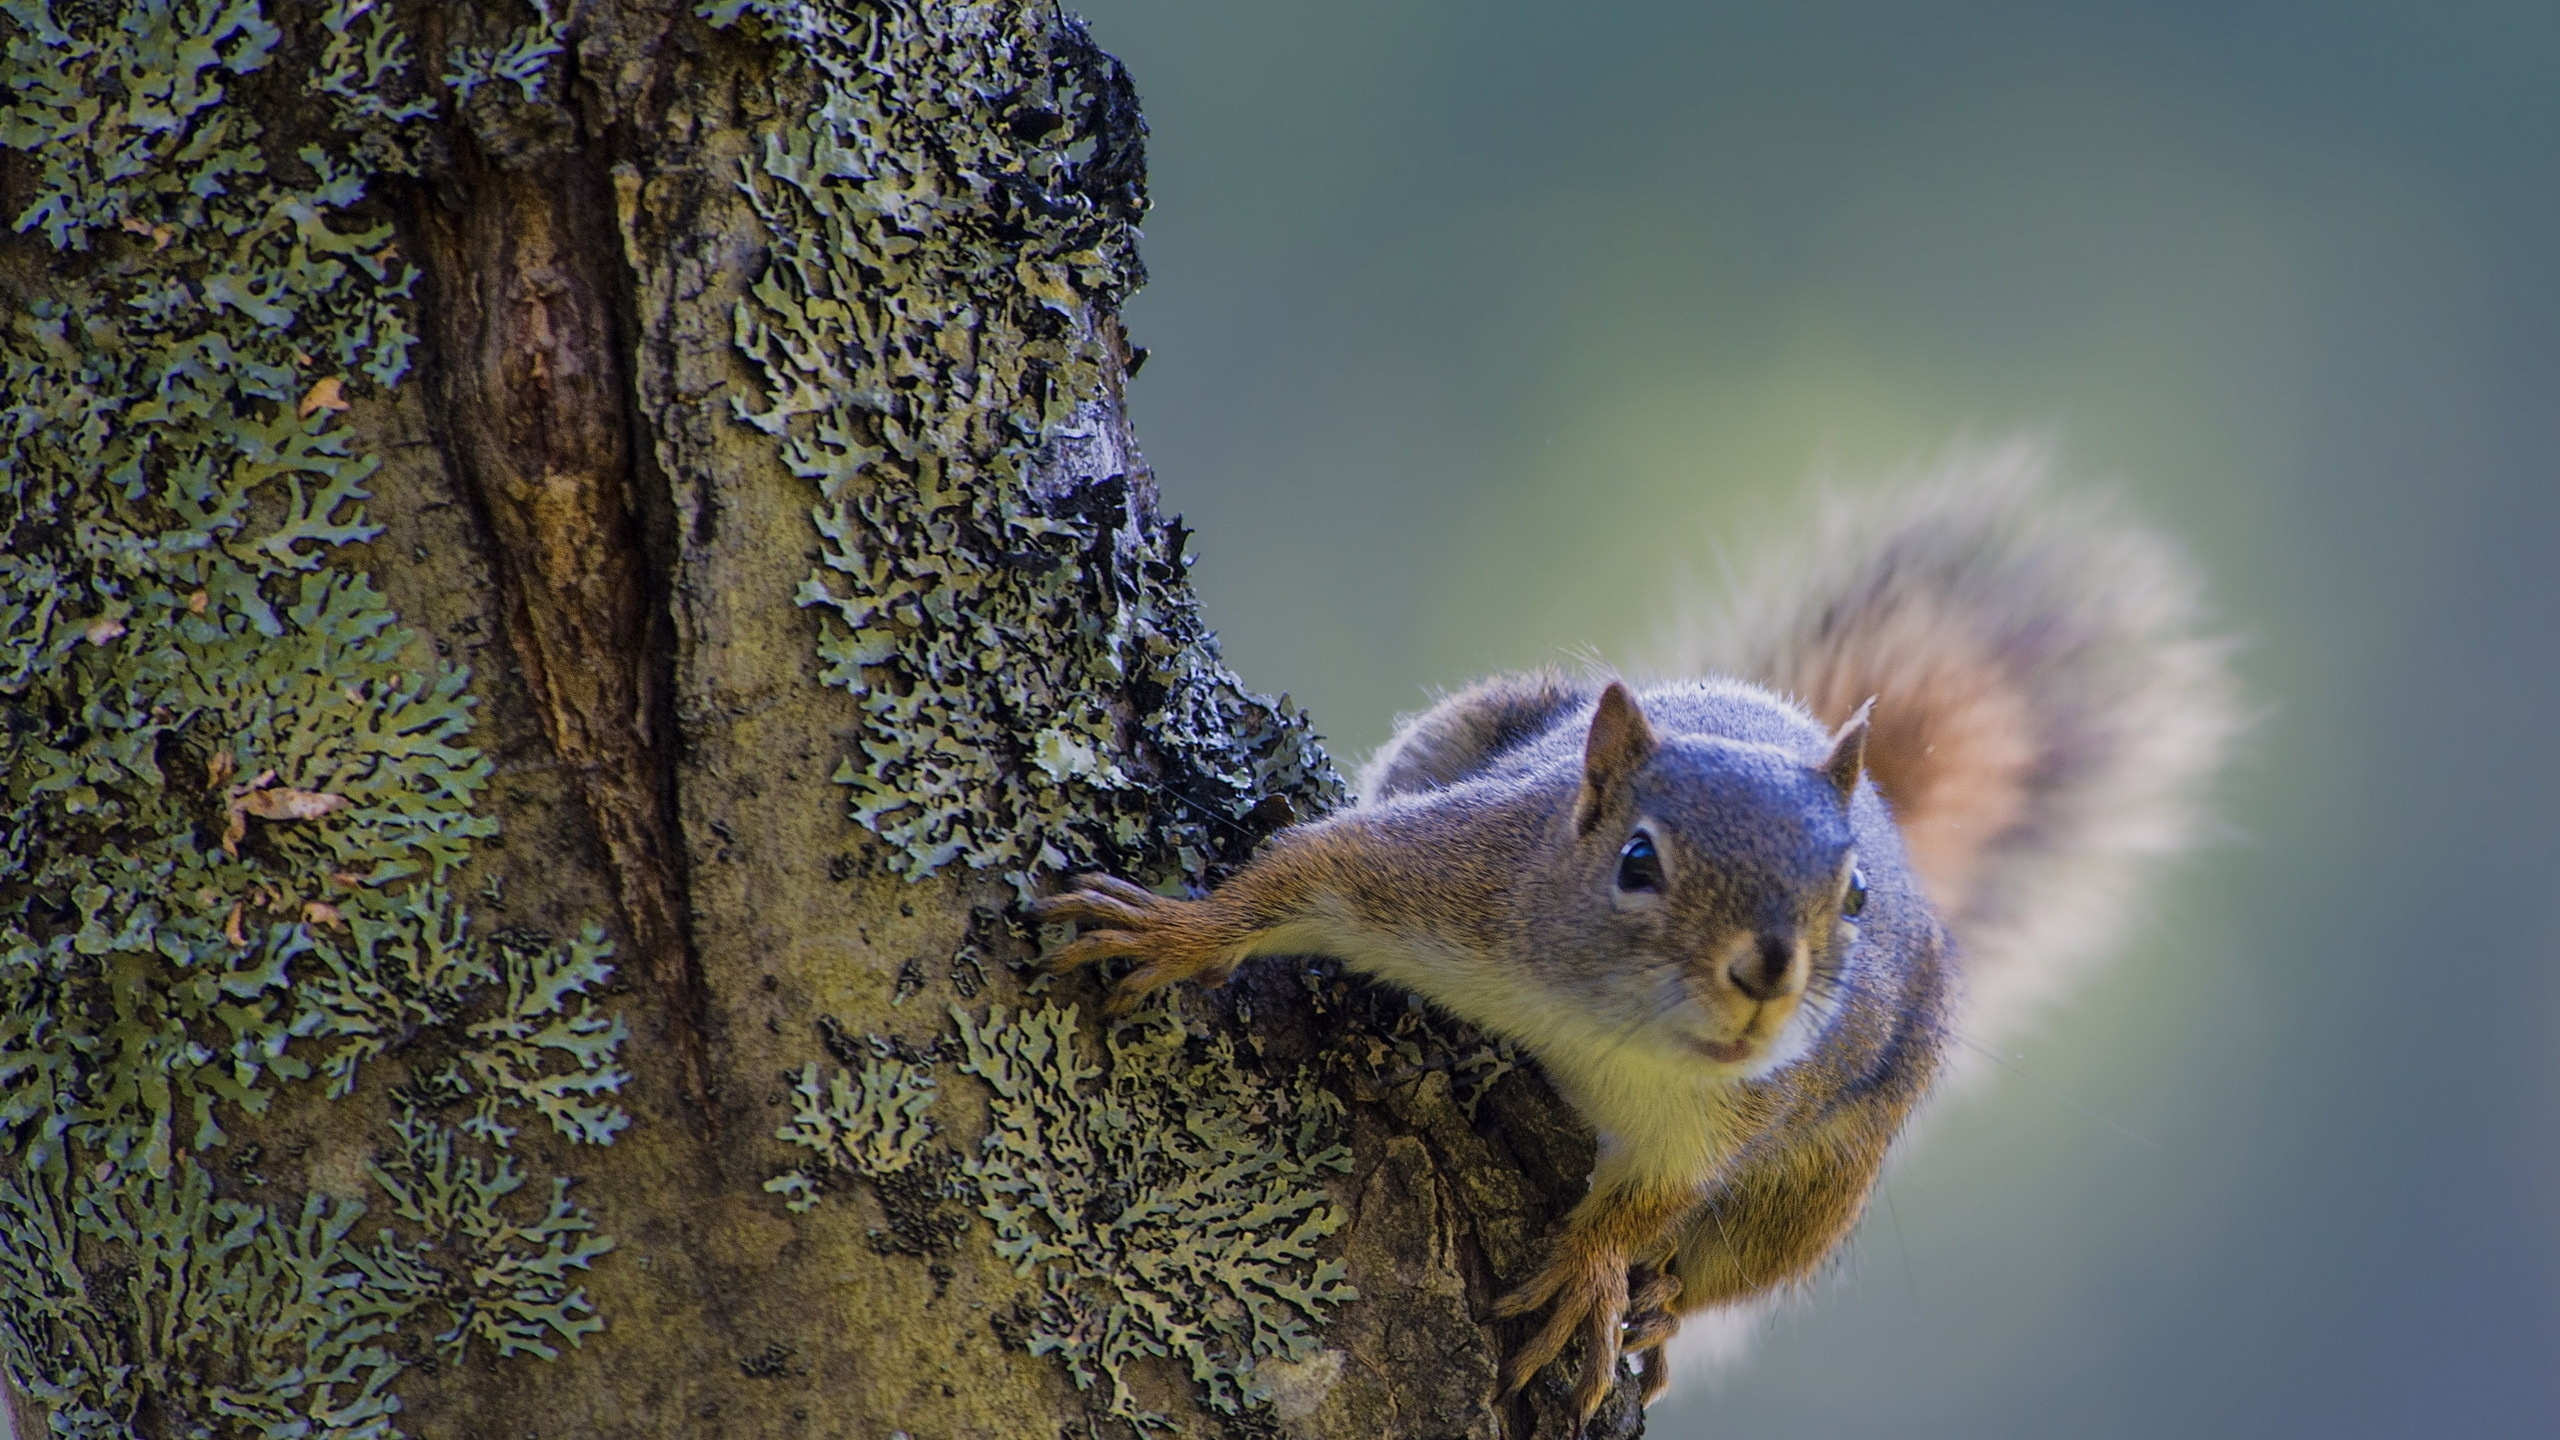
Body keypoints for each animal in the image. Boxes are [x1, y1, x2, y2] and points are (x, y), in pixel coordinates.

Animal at [1029, 445, 2232, 1424]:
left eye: (1853, 897)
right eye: (1637, 863)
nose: (1767, 973)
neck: (1602, 1026)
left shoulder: (1721, 1121)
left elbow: (1653, 1200)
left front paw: (1596, 1276)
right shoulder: (1452, 876)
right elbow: (1309, 871)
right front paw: (1177, 931)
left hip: (1825, 1178)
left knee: (1729, 1263)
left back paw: (1659, 1309)